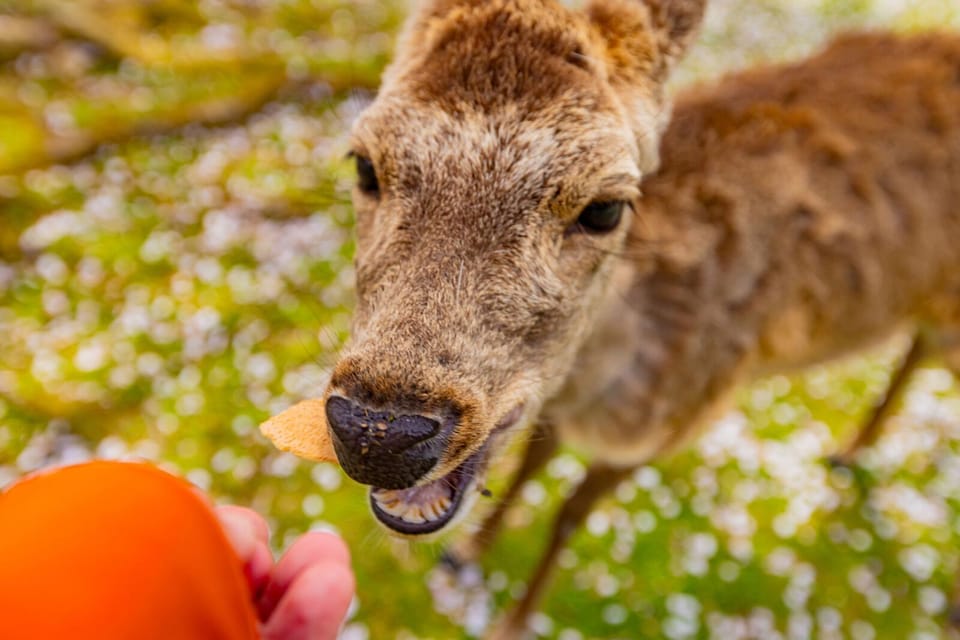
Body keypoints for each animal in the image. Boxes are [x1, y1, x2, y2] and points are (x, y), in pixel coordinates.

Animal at [314, 0, 960, 636]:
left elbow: (570, 514)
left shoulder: (670, 422)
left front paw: (513, 621)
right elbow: (531, 461)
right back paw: (846, 454)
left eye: (605, 208)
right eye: (363, 165)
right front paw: (467, 555)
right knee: (917, 348)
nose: (378, 432)